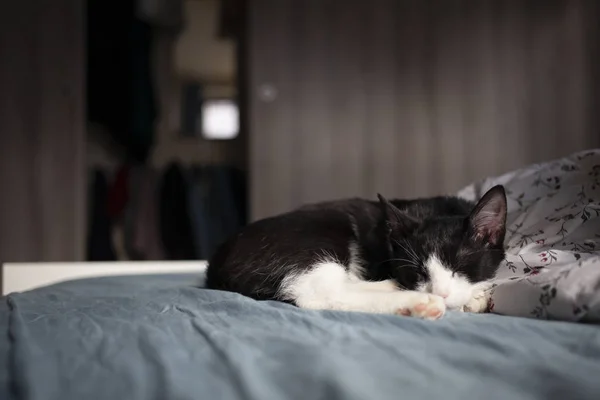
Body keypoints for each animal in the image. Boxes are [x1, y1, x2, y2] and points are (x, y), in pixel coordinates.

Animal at [206, 186, 506, 320]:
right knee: (318, 293)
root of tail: (216, 263)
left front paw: (474, 297)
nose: (440, 293)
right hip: (316, 237)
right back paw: (415, 302)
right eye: (417, 271)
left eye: (460, 265)